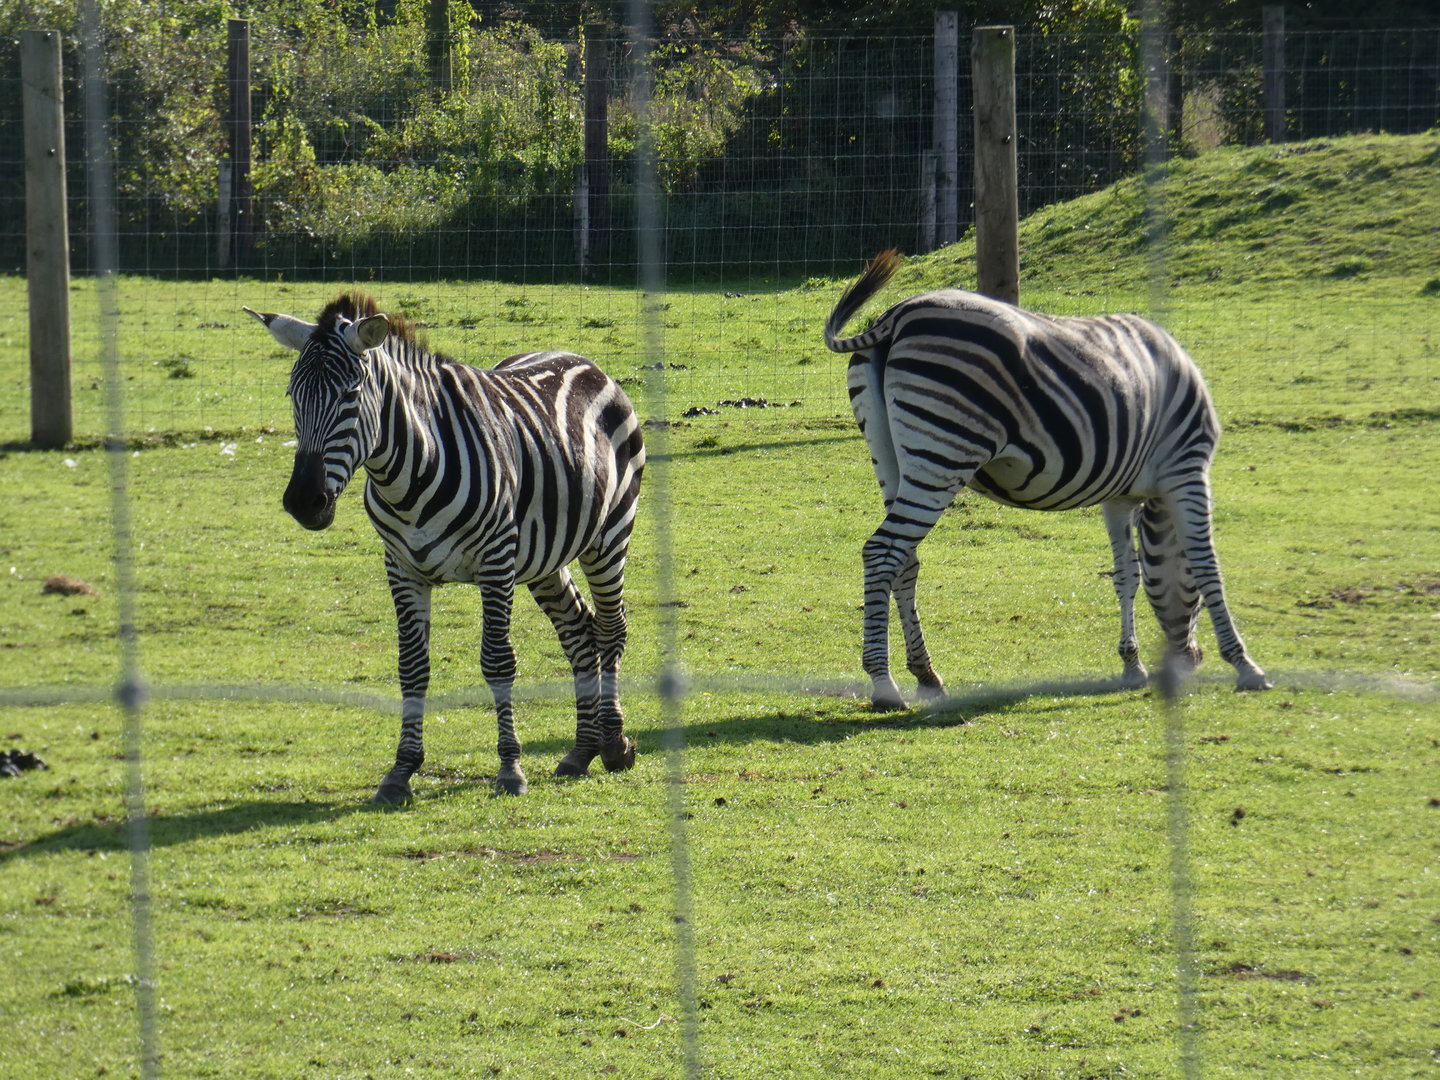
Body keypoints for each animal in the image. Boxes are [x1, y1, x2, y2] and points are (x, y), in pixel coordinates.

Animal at [245, 293, 645, 799]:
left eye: (351, 395)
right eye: (293, 396)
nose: (303, 502)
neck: (408, 477)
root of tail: (583, 361)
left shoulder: (496, 560)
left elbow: (498, 662)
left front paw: (510, 768)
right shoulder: (401, 567)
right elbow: (412, 667)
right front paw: (401, 771)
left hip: (608, 535)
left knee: (611, 628)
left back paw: (613, 744)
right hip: (542, 556)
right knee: (578, 630)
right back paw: (581, 750)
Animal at [823, 250, 1271, 710]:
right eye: (1194, 600)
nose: (1190, 660)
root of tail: (895, 316)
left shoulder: (1118, 497)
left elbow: (1126, 573)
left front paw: (1132, 665)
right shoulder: (1188, 468)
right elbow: (1207, 563)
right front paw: (1245, 665)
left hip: (890, 455)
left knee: (905, 560)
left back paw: (926, 675)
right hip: (943, 451)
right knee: (882, 552)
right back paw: (884, 684)